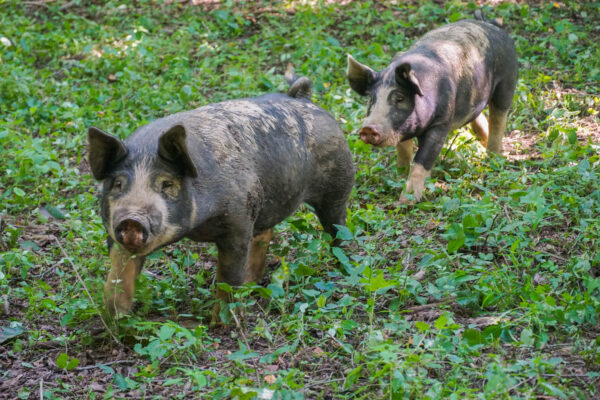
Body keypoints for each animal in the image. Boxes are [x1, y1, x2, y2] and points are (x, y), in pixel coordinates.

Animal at [86, 68, 354, 318]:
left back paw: (343, 268)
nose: (132, 219)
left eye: (167, 184)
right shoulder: (113, 233)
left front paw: (221, 323)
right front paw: (115, 318)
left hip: (338, 183)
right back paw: (251, 284)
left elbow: (228, 278)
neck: (198, 227)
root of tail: (304, 99)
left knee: (338, 227)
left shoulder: (238, 221)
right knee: (265, 234)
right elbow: (119, 274)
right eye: (118, 184)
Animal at [350, 12, 516, 203]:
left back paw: (494, 157)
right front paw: (400, 179)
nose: (368, 128)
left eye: (399, 98)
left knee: (499, 117)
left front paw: (407, 201)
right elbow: (404, 154)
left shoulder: (441, 123)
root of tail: (491, 24)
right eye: (372, 99)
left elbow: (423, 158)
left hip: (507, 82)